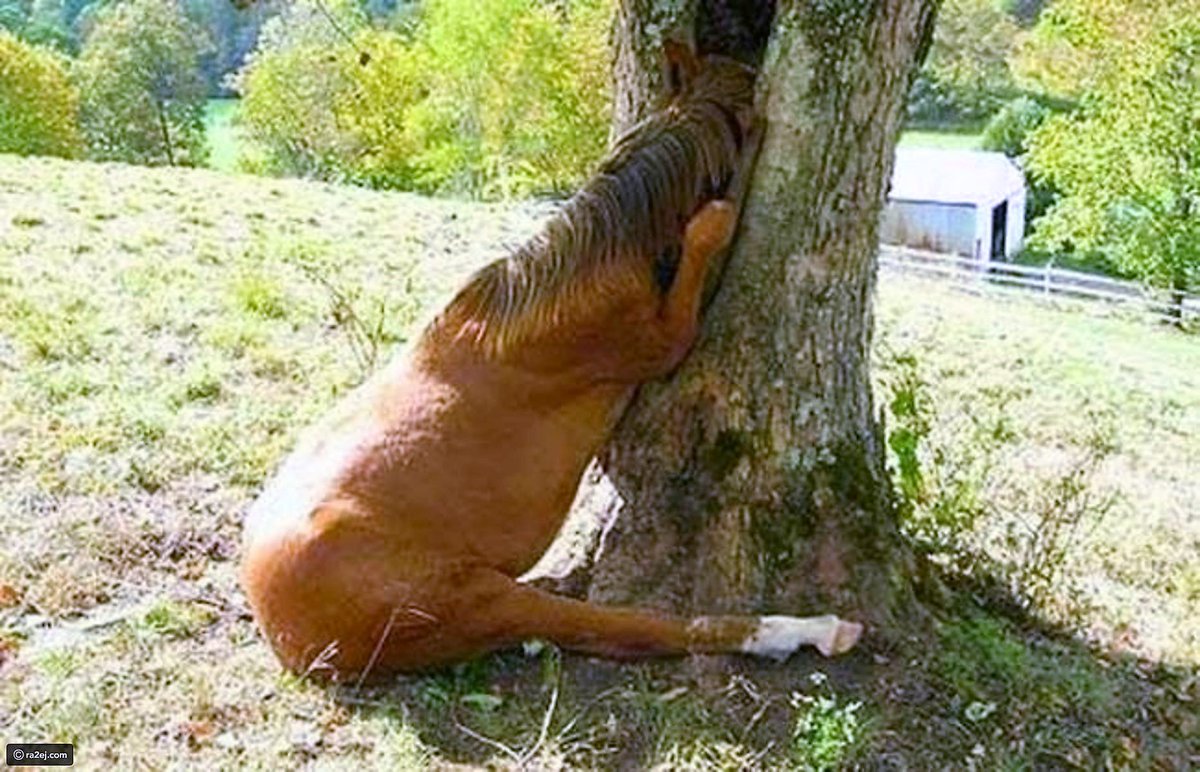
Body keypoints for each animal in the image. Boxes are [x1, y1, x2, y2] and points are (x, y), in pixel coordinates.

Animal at [240, 40, 863, 683]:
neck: (591, 261)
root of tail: (280, 629)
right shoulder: (668, 338)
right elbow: (716, 222)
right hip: (482, 600)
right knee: (634, 626)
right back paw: (805, 630)